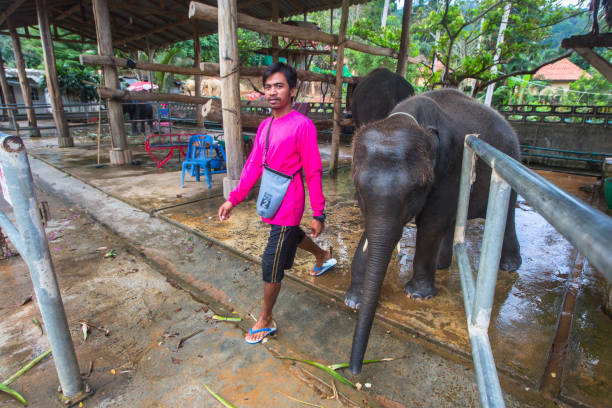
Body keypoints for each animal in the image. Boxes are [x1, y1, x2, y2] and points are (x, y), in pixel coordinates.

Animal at [344, 91, 520, 374]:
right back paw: (441, 265)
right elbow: (374, 227)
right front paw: (353, 300)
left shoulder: (451, 166)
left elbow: (432, 221)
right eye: (358, 190)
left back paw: (510, 266)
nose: (353, 371)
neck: (407, 120)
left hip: (510, 163)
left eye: (416, 190)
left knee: (508, 212)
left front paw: (417, 295)